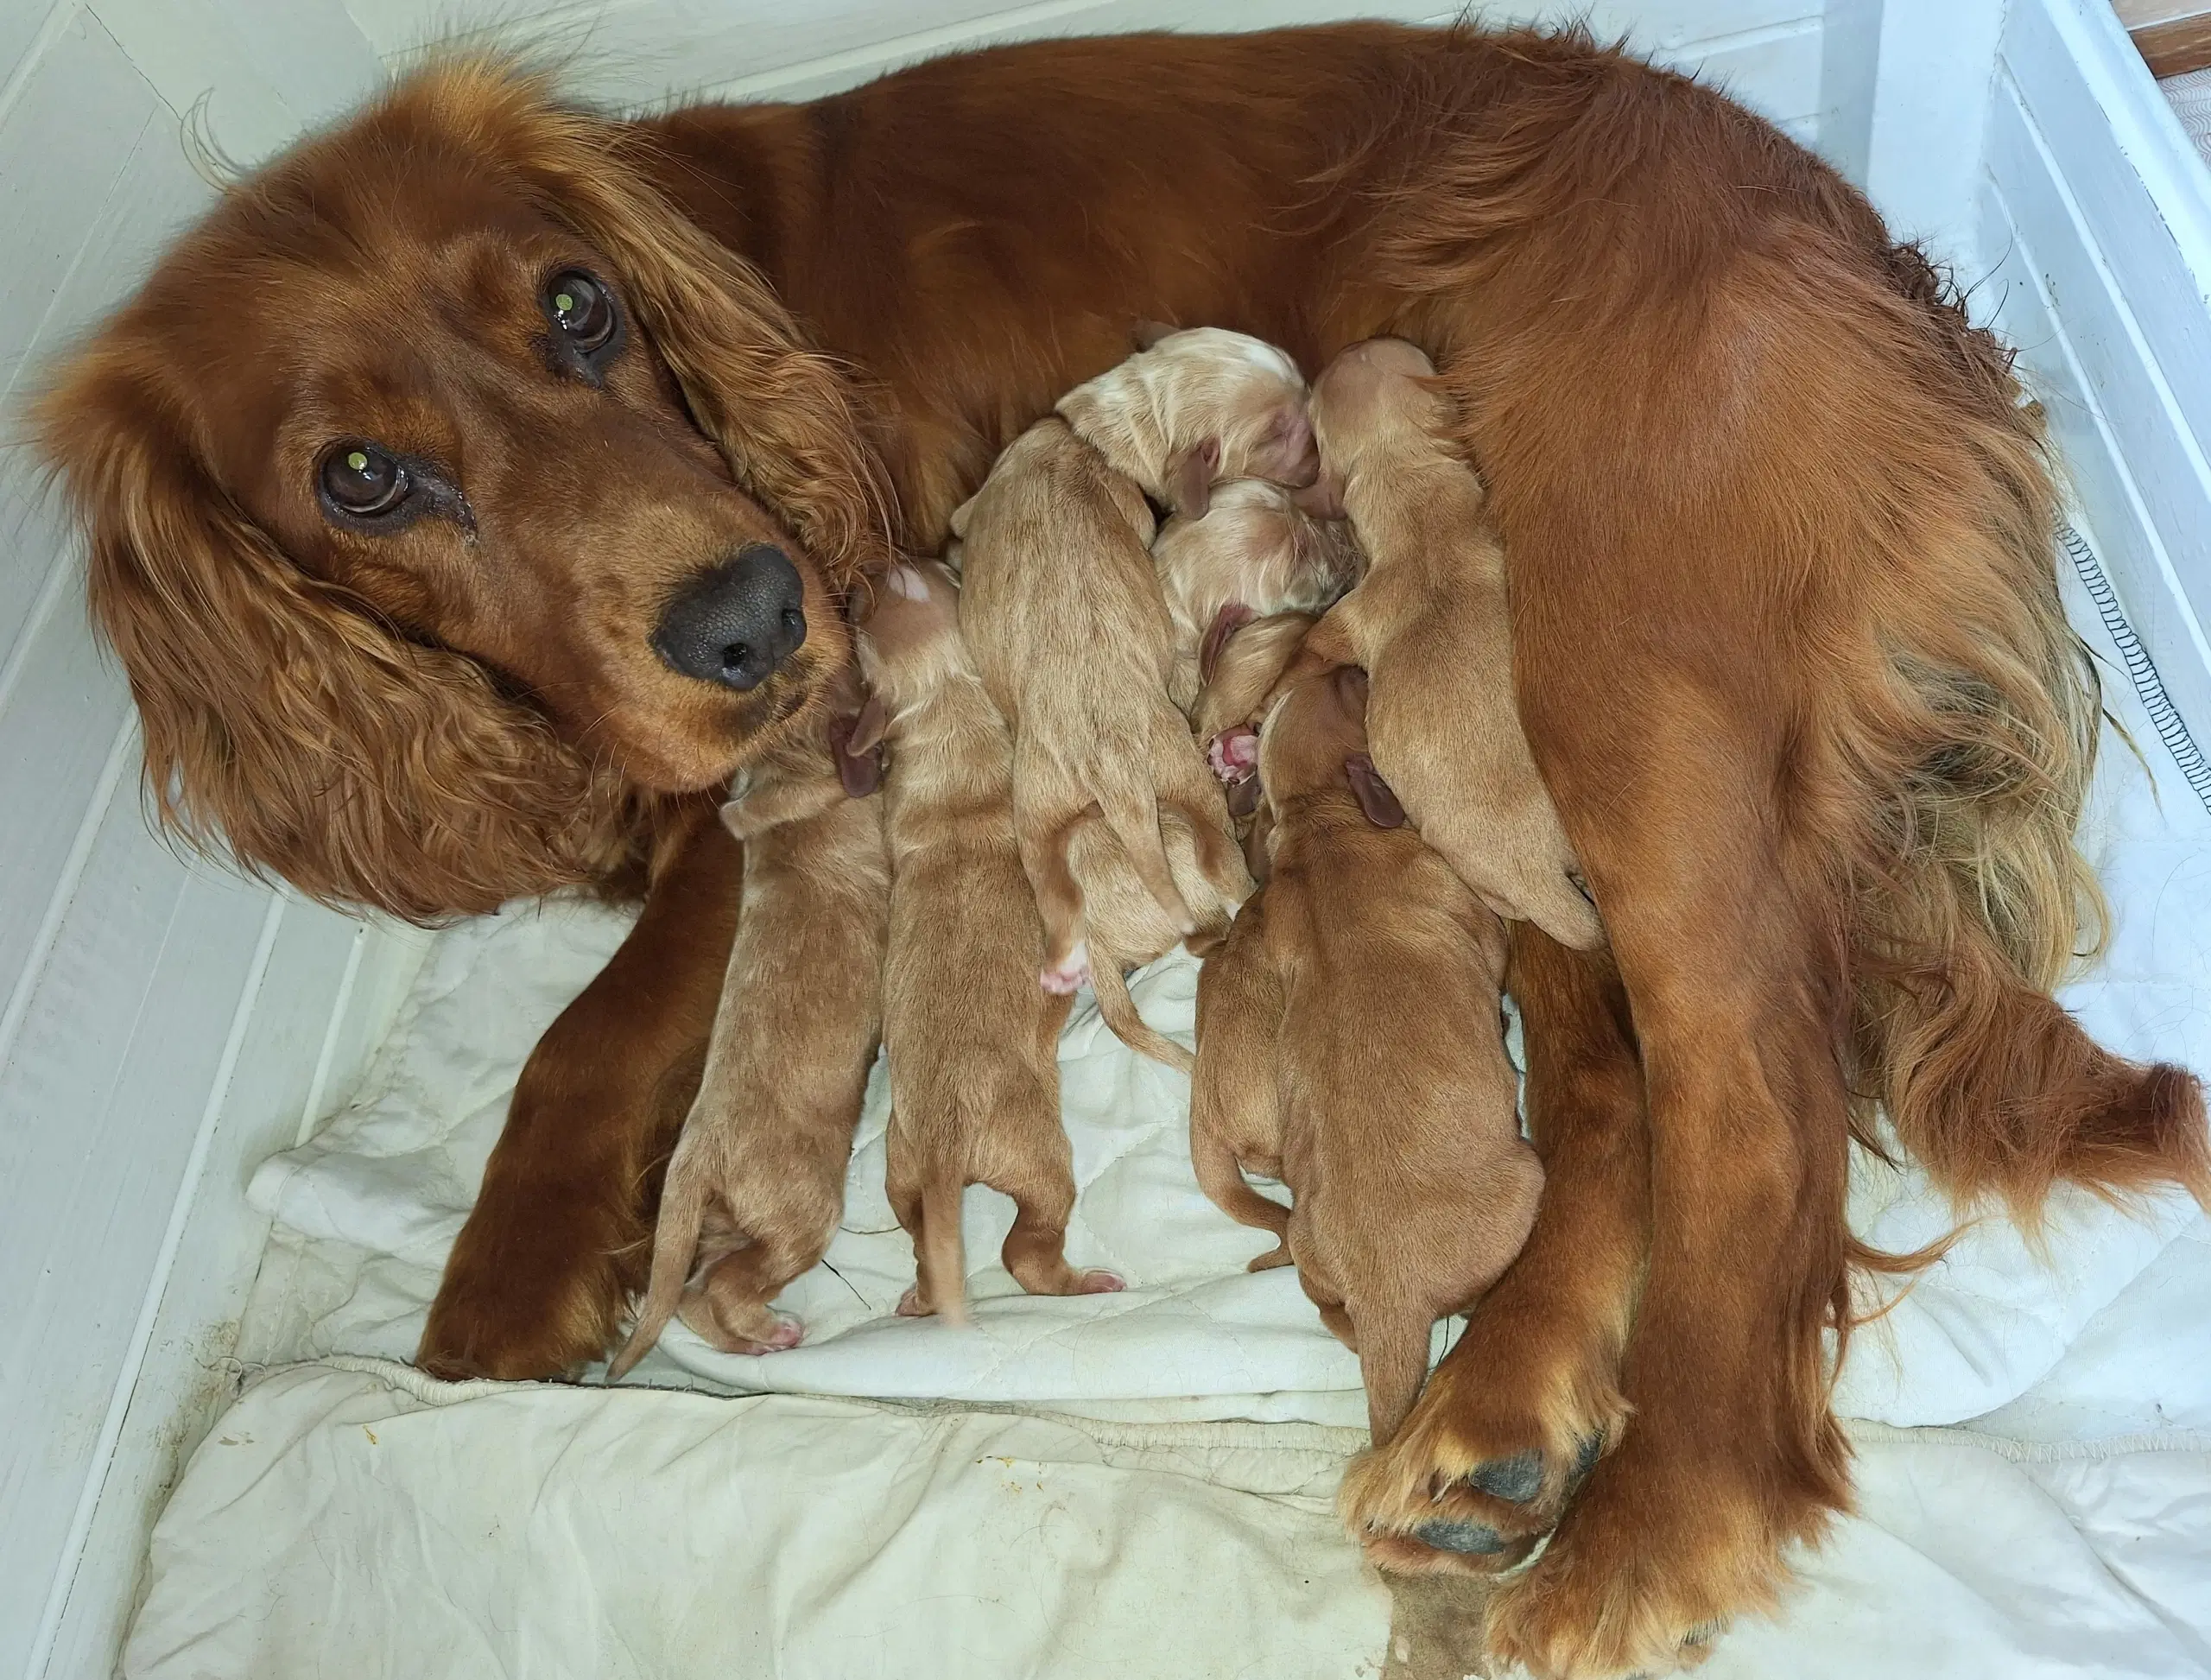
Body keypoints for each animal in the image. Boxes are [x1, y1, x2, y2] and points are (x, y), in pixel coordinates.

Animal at [605, 689, 889, 1388]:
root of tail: (693, 1156)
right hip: (800, 1212)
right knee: (728, 1287)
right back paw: (775, 1331)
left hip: (727, 1224)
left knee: (690, 1295)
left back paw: (750, 1346)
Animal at [844, 563, 1123, 1326]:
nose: (850, 587)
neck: (943, 707)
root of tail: (945, 1152)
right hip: (1039, 1159)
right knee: (1026, 1250)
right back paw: (1087, 1282)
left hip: (900, 1169)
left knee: (921, 1243)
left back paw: (918, 1297)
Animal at [954, 420, 1256, 1074]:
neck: (1051, 461)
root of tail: (1109, 760)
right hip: (1179, 772)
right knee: (1224, 868)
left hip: (1037, 805)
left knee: (1054, 892)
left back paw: (1061, 967)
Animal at [1194, 667, 1538, 1441]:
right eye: (1356, 696)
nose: (1354, 665)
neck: (1324, 823)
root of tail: (1390, 1304)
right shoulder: (1473, 915)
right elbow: (1493, 945)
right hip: (1526, 1181)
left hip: (1314, 1262)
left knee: (1328, 1312)